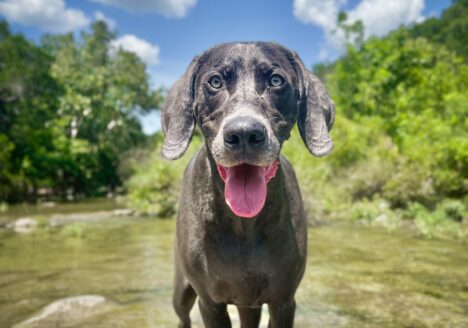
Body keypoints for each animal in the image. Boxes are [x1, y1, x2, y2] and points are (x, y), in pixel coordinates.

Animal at [163, 42, 334, 326]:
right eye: (215, 81)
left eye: (276, 80)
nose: (244, 133)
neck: (244, 223)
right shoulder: (210, 303)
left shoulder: (283, 301)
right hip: (182, 290)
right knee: (182, 316)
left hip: (249, 304)